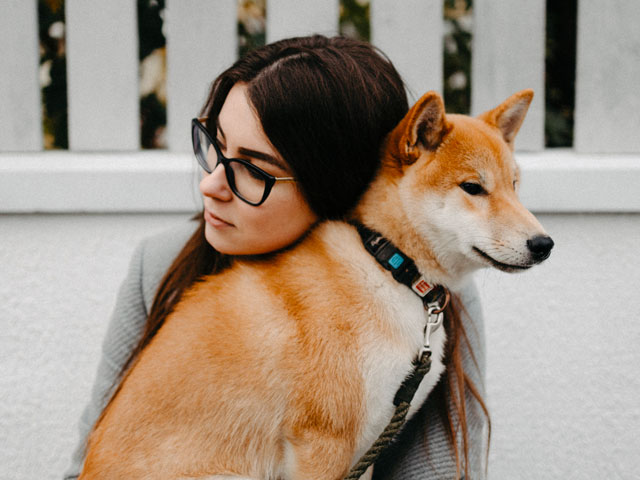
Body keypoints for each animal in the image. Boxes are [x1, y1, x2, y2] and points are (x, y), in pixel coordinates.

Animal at [79, 90, 552, 480]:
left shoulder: (368, 441)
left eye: (514, 186)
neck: (389, 268)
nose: (544, 244)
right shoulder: (324, 440)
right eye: (473, 188)